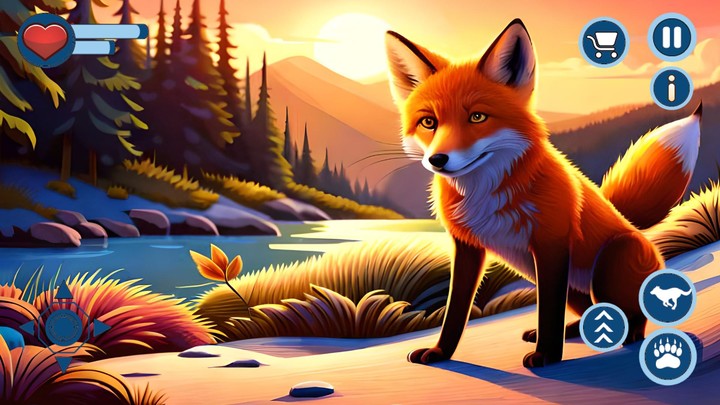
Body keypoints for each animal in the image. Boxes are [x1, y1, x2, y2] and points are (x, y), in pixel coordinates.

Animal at [384, 18, 702, 367]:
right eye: (429, 122)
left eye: (477, 117)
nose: (437, 159)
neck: (484, 194)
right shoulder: (466, 247)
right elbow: (455, 311)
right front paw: (441, 352)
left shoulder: (551, 244)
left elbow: (548, 311)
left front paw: (547, 355)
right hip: (563, 283)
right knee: (593, 312)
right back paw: (579, 331)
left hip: (607, 266)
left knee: (632, 314)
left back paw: (629, 337)